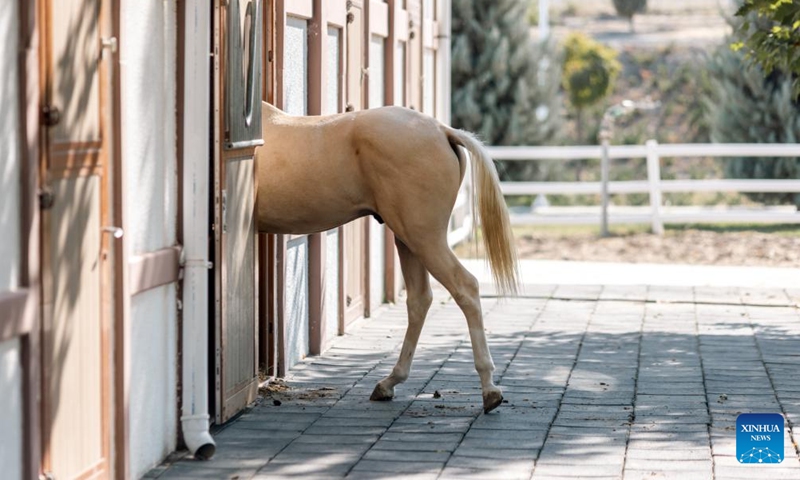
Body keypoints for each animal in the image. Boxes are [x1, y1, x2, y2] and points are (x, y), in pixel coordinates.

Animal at [255, 103, 520, 414]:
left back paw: (489, 388)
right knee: (420, 300)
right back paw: (389, 382)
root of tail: (443, 131)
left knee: (465, 288)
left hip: (424, 238)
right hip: (408, 240)